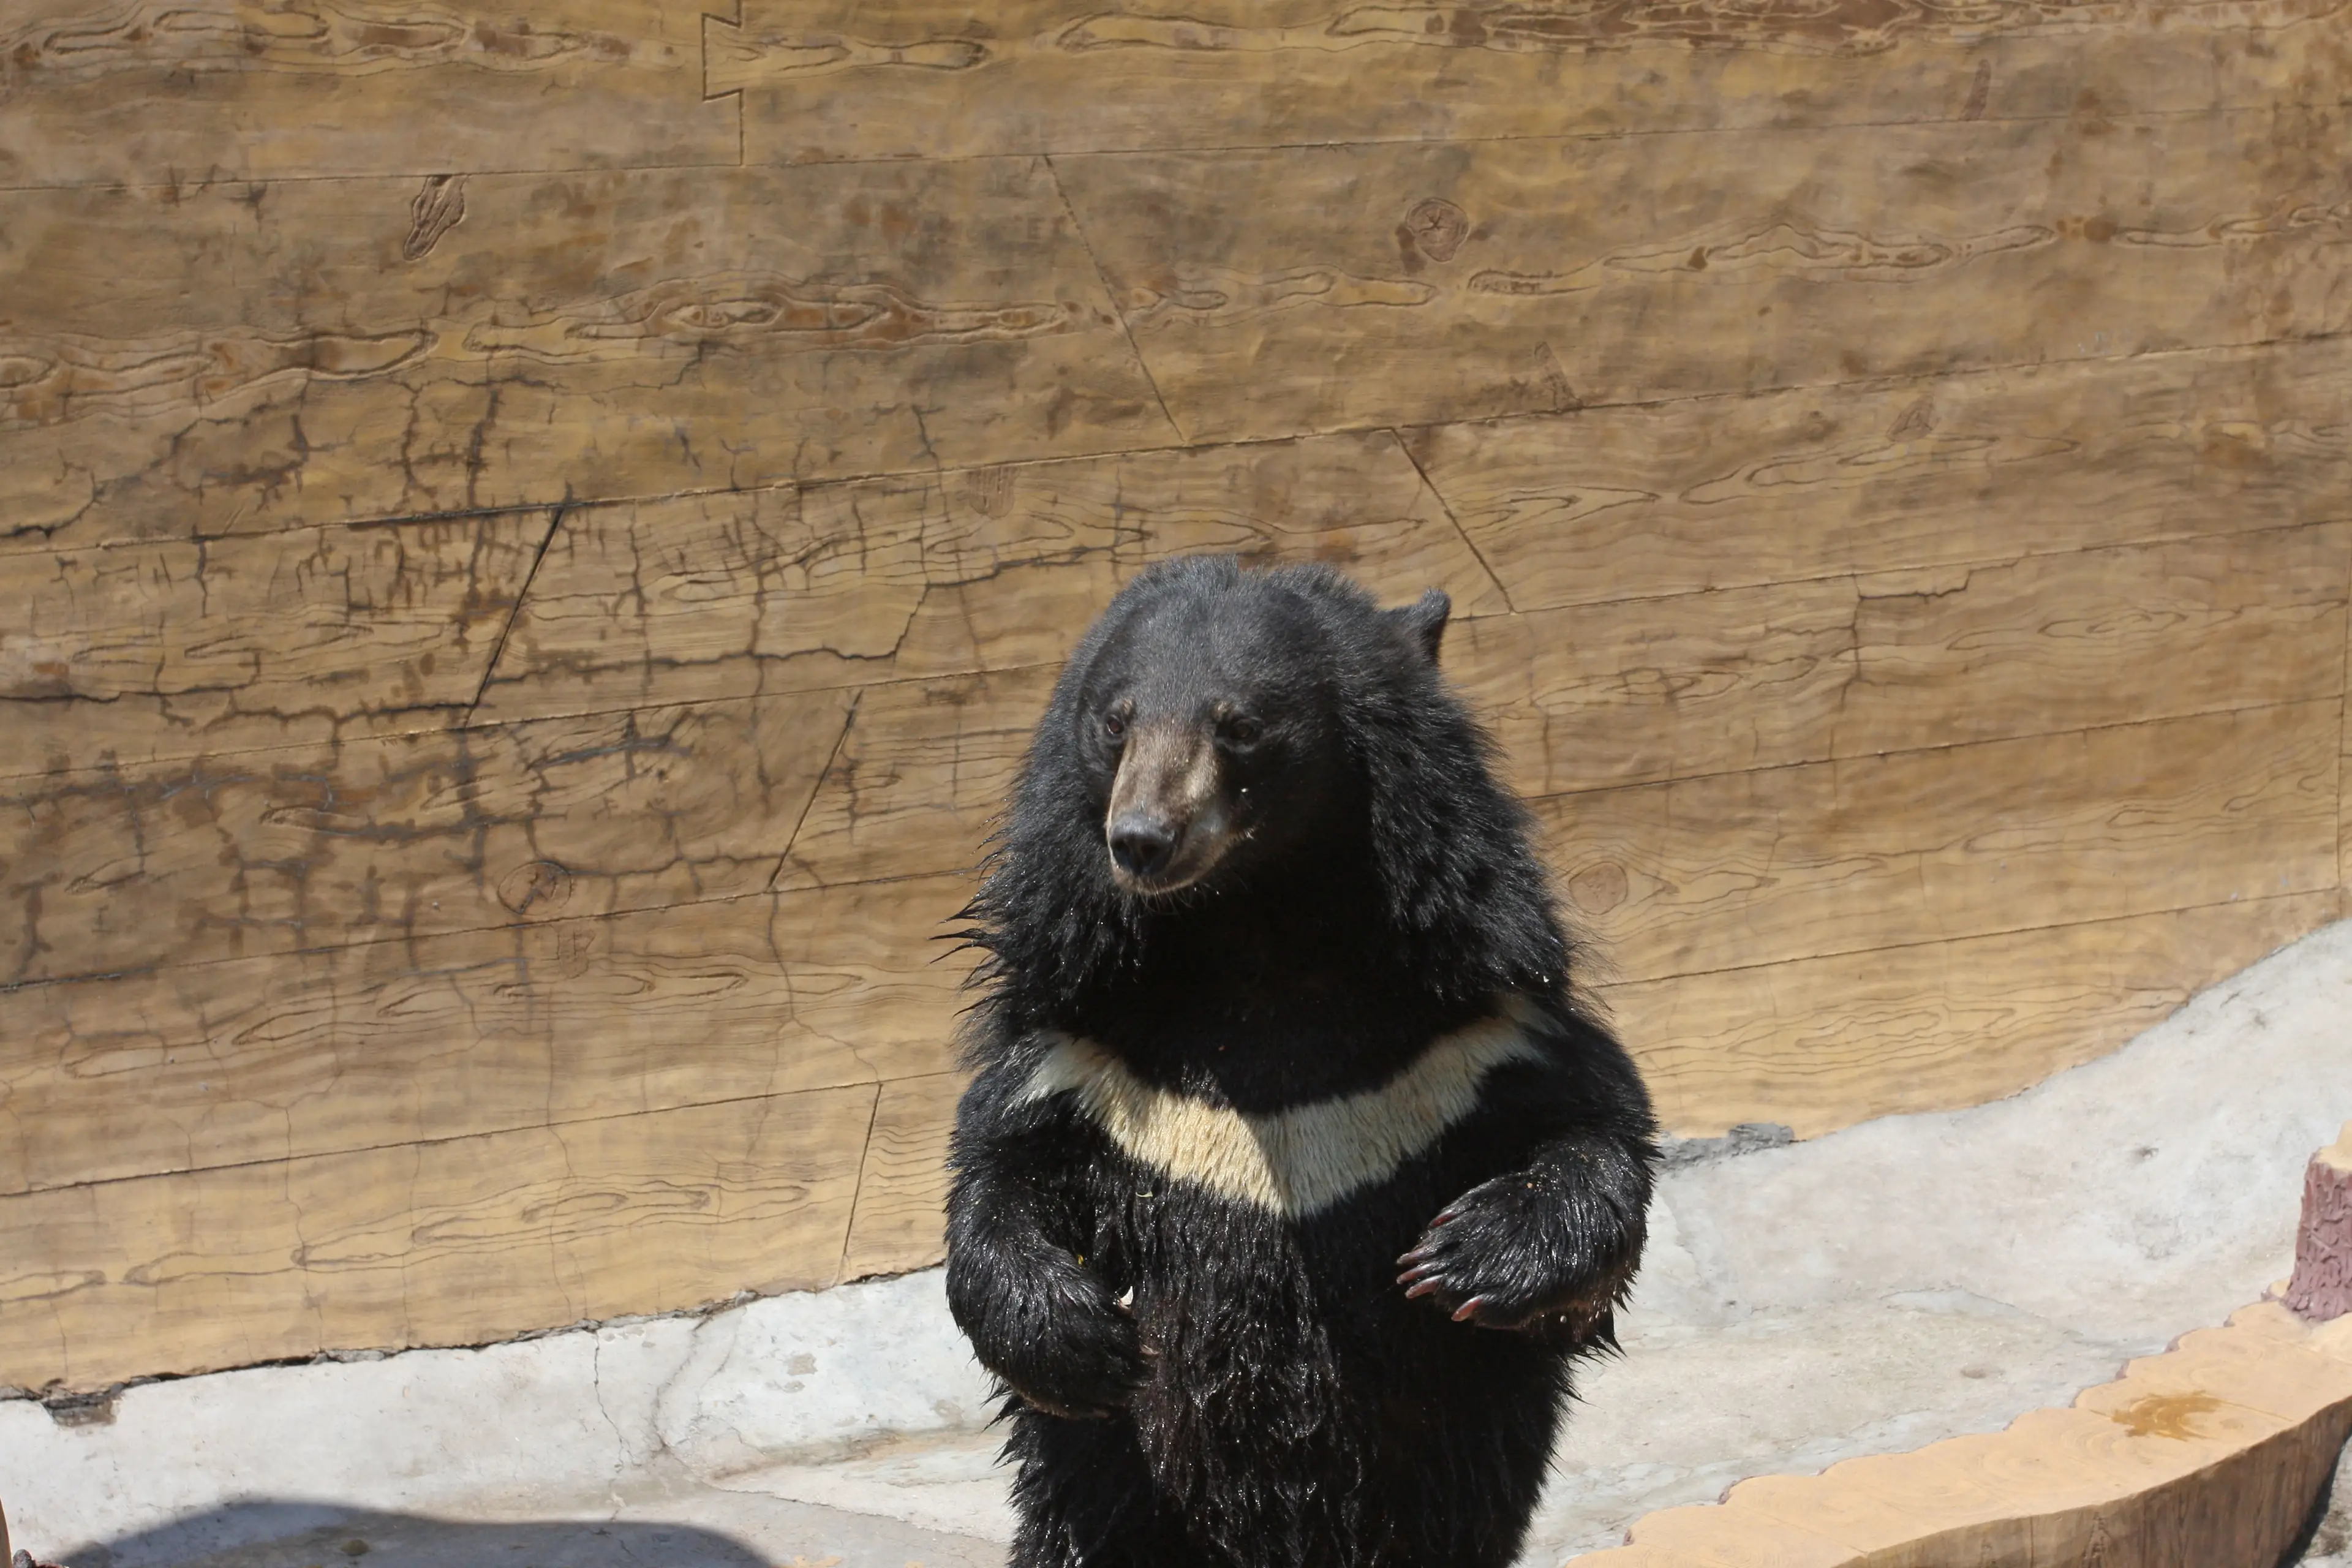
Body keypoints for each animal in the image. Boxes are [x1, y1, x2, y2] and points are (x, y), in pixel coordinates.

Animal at [944, 556, 1658, 1568]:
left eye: (1239, 726)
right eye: (1116, 719)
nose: (1142, 840)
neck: (1256, 931)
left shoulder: (1475, 1036)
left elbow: (1595, 1131)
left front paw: (1461, 1260)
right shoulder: (1083, 1056)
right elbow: (998, 1175)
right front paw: (1086, 1339)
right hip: (1117, 1498)